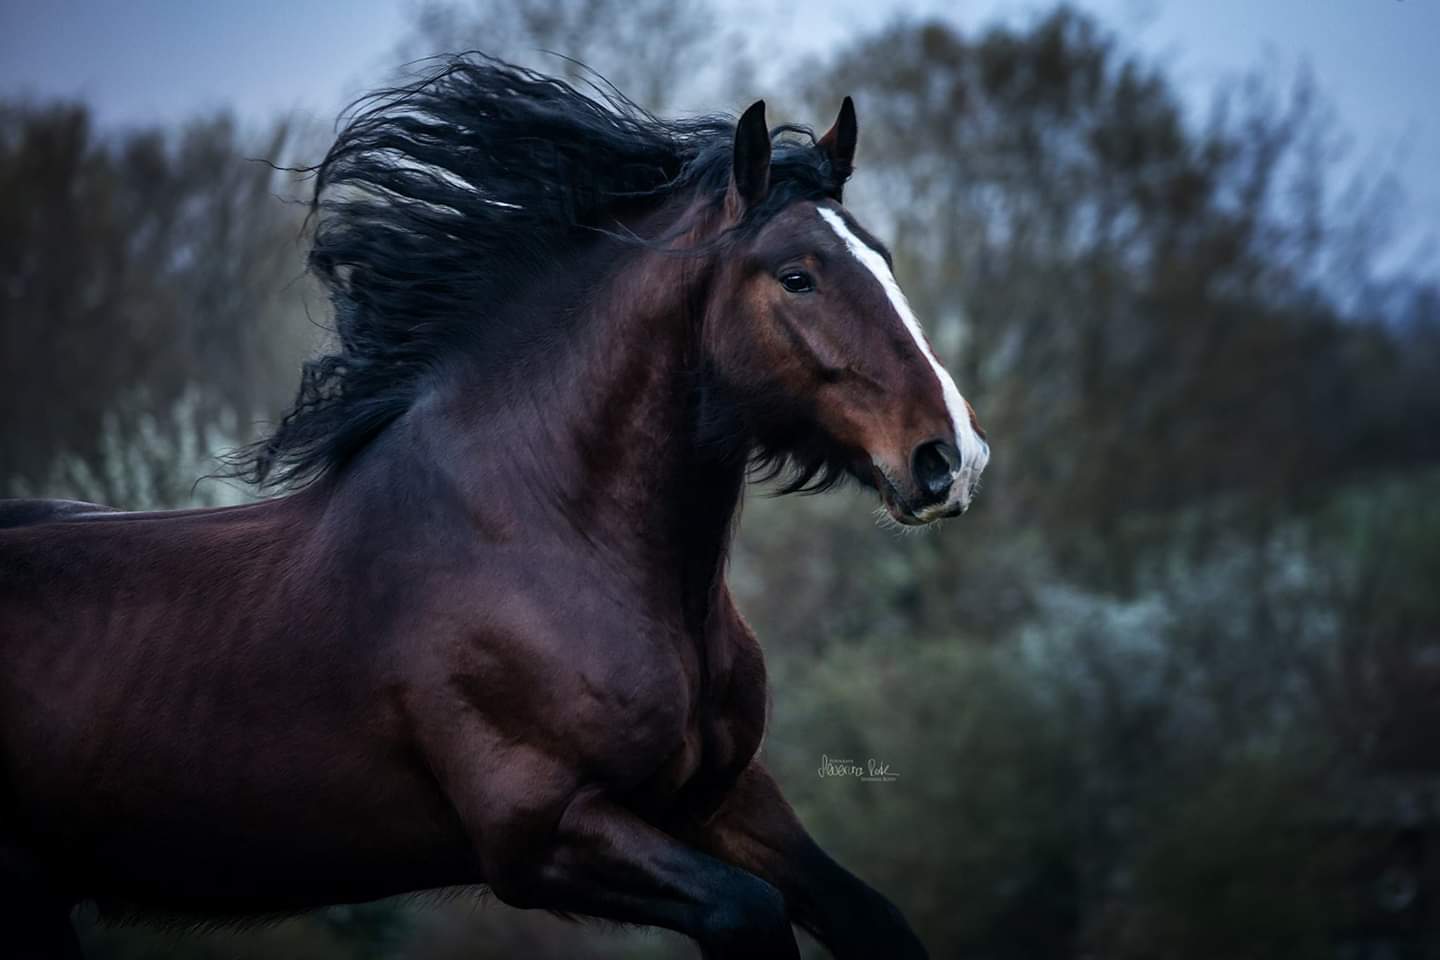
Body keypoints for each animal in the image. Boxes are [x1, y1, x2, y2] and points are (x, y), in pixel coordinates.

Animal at [0, 58, 988, 959]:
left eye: (881, 258)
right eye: (796, 276)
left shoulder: (724, 797)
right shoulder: (542, 834)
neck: (544, 539)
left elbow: (871, 916)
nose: (952, 457)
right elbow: (748, 912)